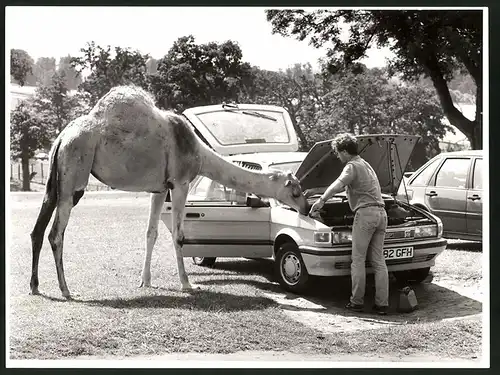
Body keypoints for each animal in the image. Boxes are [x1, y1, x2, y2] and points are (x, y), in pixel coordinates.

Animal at [30, 85, 308, 300]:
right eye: (295, 191)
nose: (307, 208)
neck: (199, 152)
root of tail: (62, 137)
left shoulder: (159, 188)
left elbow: (150, 233)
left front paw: (145, 281)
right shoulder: (181, 183)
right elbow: (179, 235)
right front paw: (187, 284)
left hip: (56, 180)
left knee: (37, 230)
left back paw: (35, 287)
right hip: (74, 176)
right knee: (56, 234)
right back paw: (66, 290)